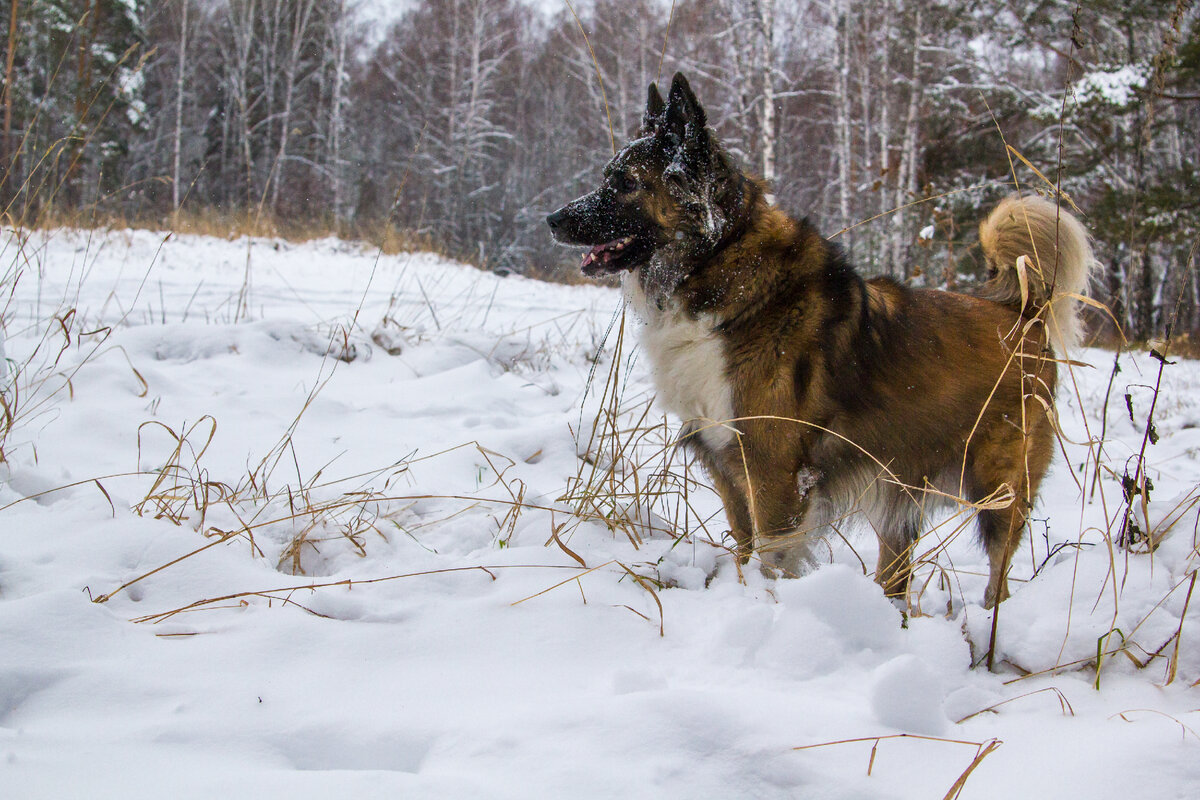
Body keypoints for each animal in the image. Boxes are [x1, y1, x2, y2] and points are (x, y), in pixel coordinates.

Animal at [549, 73, 1094, 606]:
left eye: (624, 183)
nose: (552, 219)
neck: (721, 267)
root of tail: (1023, 312)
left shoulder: (774, 471)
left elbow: (771, 559)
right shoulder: (727, 465)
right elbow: (744, 549)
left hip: (1001, 490)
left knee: (998, 576)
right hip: (899, 485)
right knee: (896, 573)